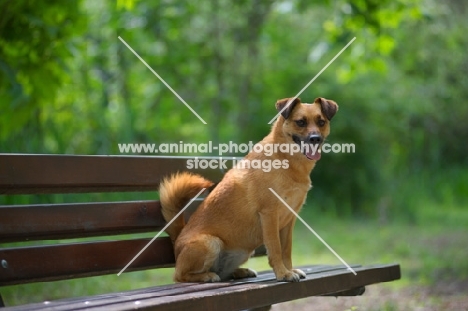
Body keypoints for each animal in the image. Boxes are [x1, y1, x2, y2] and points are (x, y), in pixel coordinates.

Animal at [160, 97, 336, 282]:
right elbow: (276, 249)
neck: (286, 160)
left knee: (223, 272)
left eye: (321, 122)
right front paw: (283, 273)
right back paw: (207, 276)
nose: (315, 139)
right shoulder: (269, 215)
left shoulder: (289, 220)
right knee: (179, 275)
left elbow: (286, 250)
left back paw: (239, 272)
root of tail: (177, 241)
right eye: (300, 122)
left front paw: (290, 269)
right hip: (210, 243)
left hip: (242, 252)